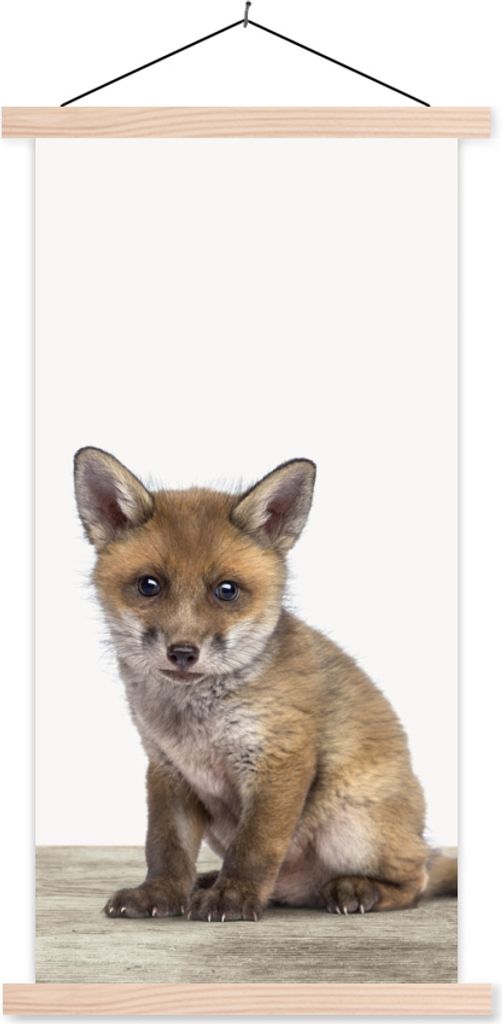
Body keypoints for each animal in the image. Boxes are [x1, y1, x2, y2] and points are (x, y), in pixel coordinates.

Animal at [74, 447, 457, 923]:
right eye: (149, 585)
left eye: (226, 590)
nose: (182, 652)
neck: (196, 724)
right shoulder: (167, 770)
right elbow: (165, 847)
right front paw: (160, 893)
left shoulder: (280, 760)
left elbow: (255, 847)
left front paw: (233, 897)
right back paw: (207, 882)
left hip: (354, 830)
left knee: (416, 880)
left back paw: (357, 888)